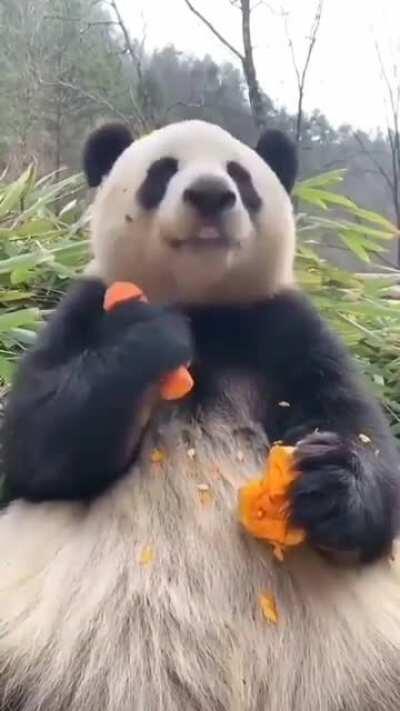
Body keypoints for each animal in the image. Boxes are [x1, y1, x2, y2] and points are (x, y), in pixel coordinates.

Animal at [0, 119, 400, 711]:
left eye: (241, 175)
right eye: (163, 171)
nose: (211, 194)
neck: (203, 307)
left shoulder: (286, 324)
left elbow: (361, 432)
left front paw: (326, 484)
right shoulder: (84, 308)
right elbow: (35, 443)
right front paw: (149, 338)